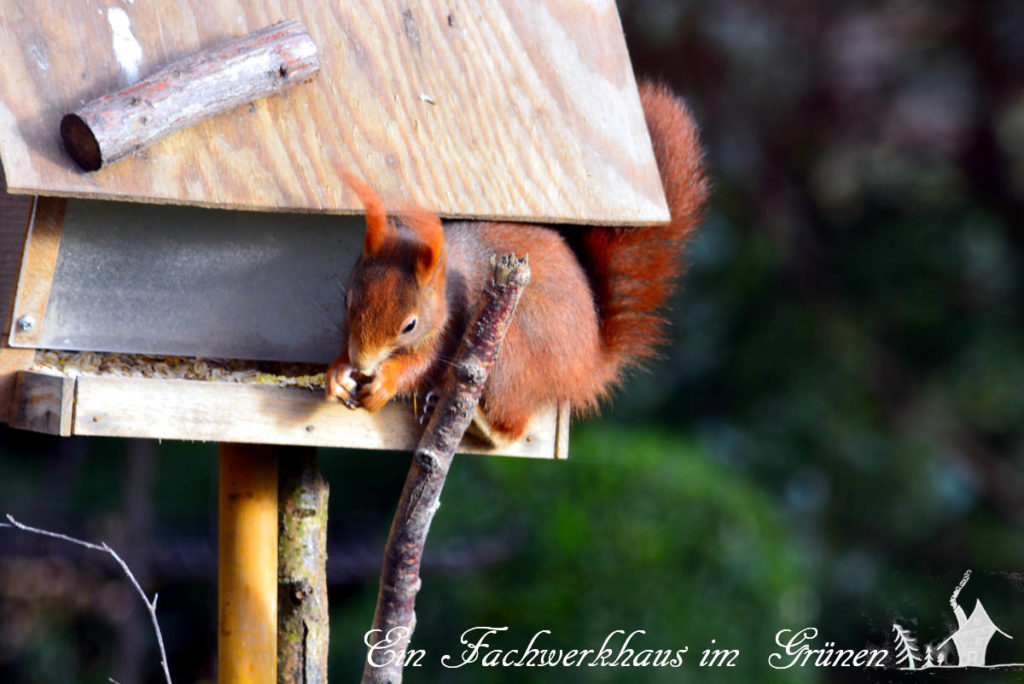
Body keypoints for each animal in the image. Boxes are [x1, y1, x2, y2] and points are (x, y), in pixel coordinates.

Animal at [323, 81, 708, 444]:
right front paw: (338, 373)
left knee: (513, 426)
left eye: (410, 325)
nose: (362, 363)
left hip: (511, 351)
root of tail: (586, 370)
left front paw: (384, 382)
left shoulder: (451, 324)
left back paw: (480, 423)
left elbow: (422, 364)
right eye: (347, 300)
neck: (444, 289)